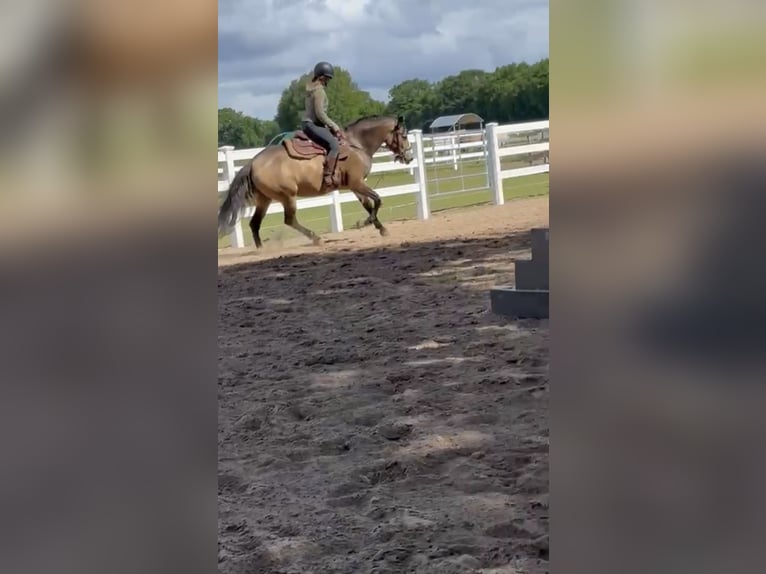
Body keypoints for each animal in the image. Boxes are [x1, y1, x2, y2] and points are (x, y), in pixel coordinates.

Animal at [217, 114, 414, 248]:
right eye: (404, 136)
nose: (410, 157)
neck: (356, 145)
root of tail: (253, 162)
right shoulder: (357, 183)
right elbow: (378, 200)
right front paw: (364, 223)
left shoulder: (355, 186)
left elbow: (368, 205)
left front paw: (381, 228)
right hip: (287, 196)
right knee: (289, 220)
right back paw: (316, 238)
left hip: (265, 199)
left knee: (255, 223)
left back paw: (261, 249)